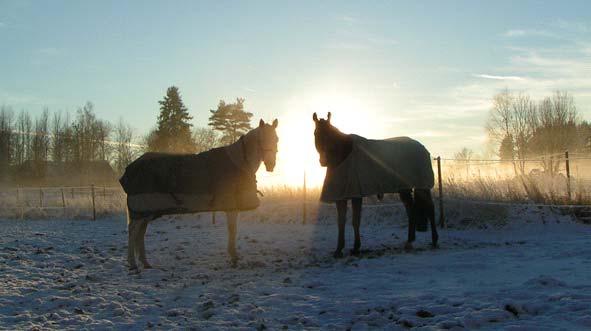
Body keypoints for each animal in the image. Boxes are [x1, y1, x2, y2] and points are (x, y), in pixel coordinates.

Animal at [314, 113, 440, 258]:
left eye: (329, 134)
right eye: (316, 133)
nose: (323, 161)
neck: (344, 156)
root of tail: (422, 148)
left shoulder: (356, 194)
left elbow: (355, 221)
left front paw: (356, 248)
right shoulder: (341, 196)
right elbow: (341, 222)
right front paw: (338, 250)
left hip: (423, 186)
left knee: (430, 209)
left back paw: (434, 240)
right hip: (404, 189)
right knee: (410, 210)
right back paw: (409, 242)